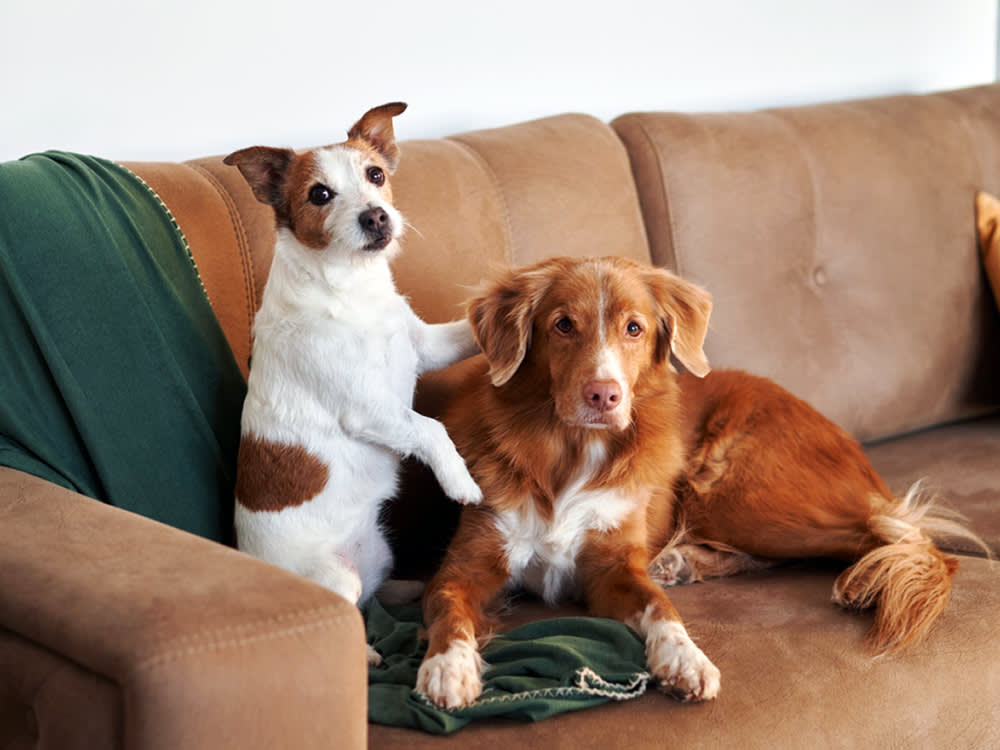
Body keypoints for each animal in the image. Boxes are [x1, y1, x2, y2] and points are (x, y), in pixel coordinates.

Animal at [226, 103, 480, 660]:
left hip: (381, 549)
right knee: (350, 614)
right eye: (319, 194)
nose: (376, 215)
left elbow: (467, 332)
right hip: (335, 578)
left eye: (376, 176)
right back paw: (366, 653)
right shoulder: (368, 409)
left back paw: (412, 588)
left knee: (374, 594)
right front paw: (462, 483)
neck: (352, 289)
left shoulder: (425, 347)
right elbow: (430, 428)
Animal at [416, 258, 976, 712]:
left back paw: (862, 580)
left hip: (736, 495)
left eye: (634, 328)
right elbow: (449, 609)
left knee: (901, 534)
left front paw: (687, 659)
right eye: (563, 325)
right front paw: (447, 668)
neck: (570, 452)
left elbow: (662, 612)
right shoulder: (465, 567)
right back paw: (684, 562)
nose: (604, 395)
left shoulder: (613, 569)